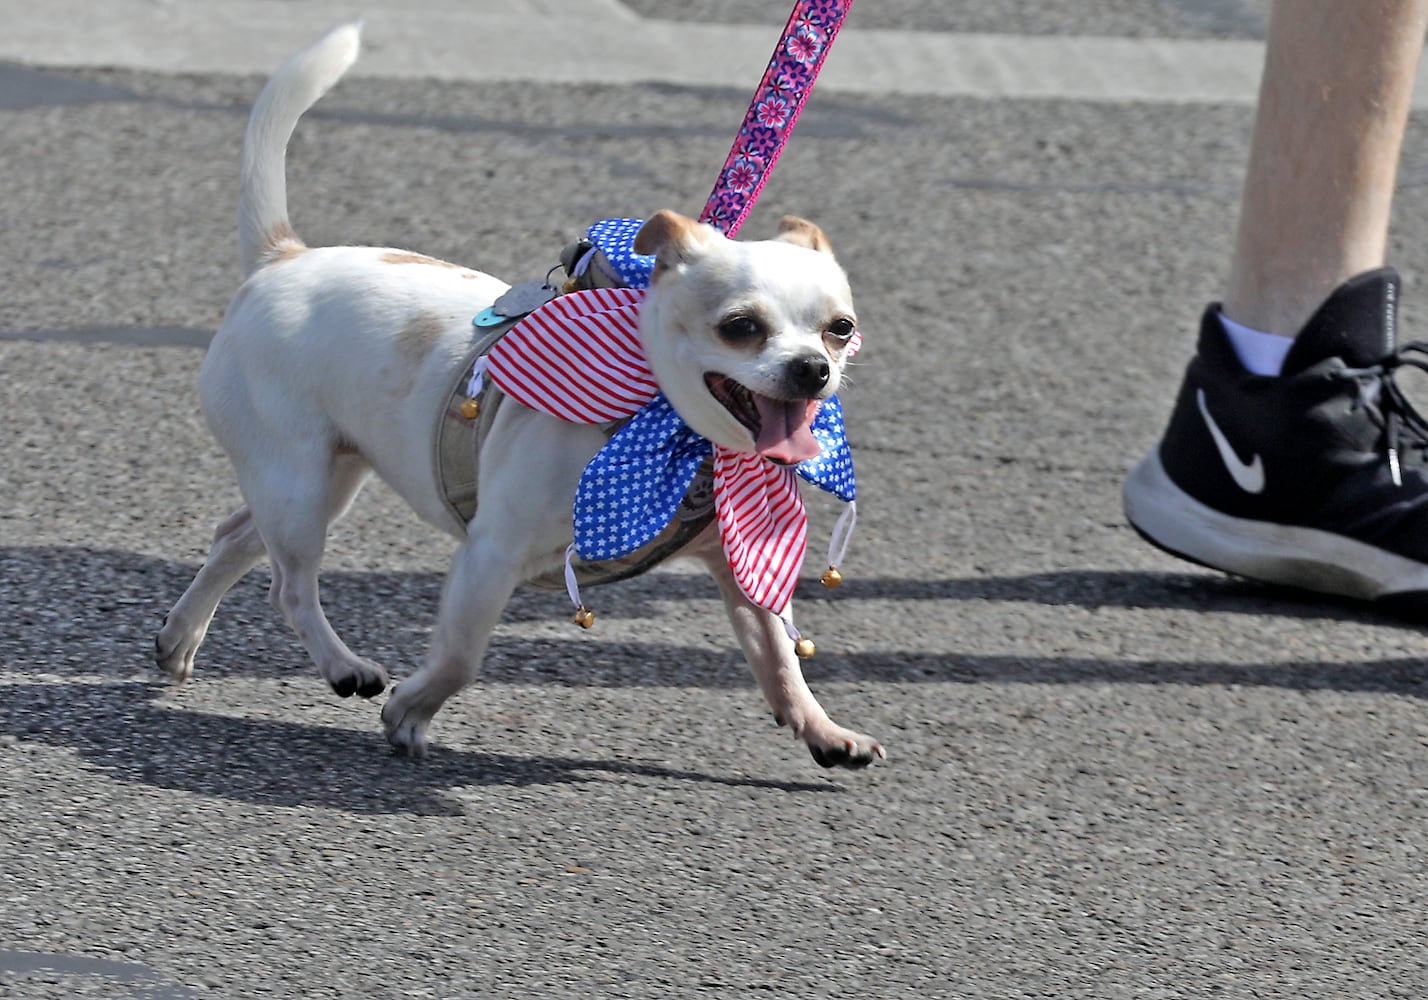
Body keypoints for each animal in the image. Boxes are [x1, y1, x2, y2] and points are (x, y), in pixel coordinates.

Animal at [156, 25, 879, 771]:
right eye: (740, 327)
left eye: (840, 329)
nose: (811, 369)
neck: (672, 434)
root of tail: (284, 256)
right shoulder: (491, 554)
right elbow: (460, 658)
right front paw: (409, 714)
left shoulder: (742, 572)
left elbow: (780, 659)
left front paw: (821, 730)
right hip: (297, 485)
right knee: (289, 584)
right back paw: (342, 666)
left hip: (327, 475)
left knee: (236, 538)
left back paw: (179, 638)